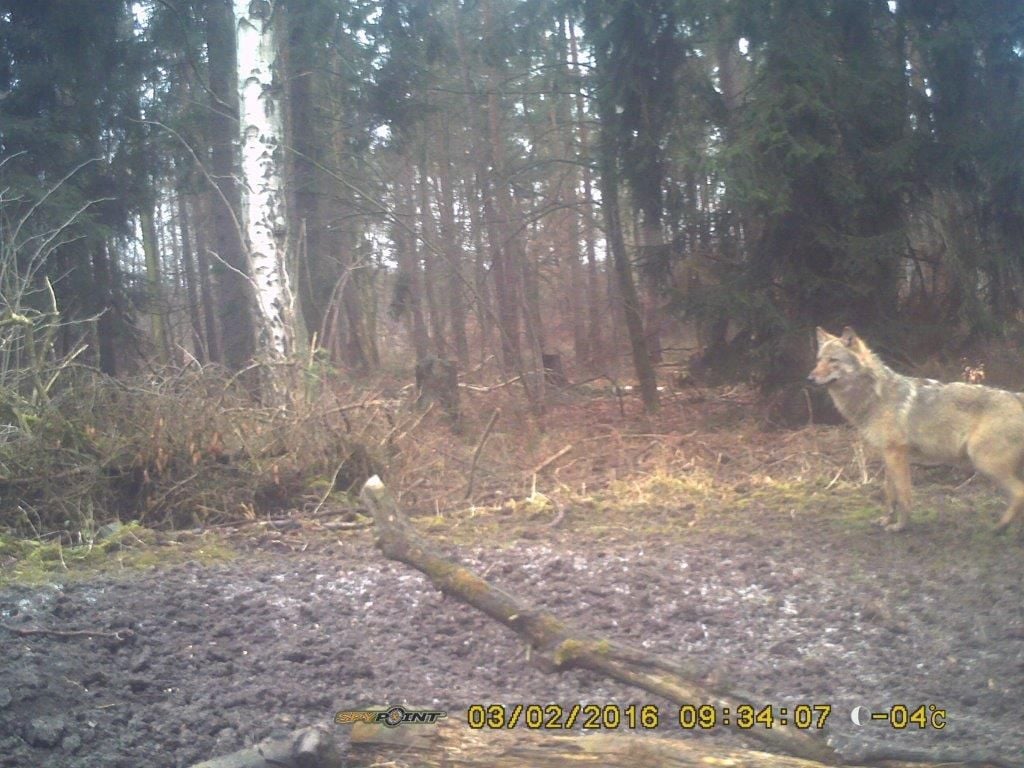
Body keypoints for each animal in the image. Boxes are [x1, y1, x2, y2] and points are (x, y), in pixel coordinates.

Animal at [808, 327, 1024, 533]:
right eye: (818, 360)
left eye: (833, 360)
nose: (809, 378)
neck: (874, 397)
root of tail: (1016, 396)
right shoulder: (888, 455)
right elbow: (890, 494)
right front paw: (886, 520)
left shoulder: (897, 454)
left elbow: (904, 495)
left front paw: (900, 526)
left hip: (984, 463)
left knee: (1019, 493)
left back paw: (1000, 527)